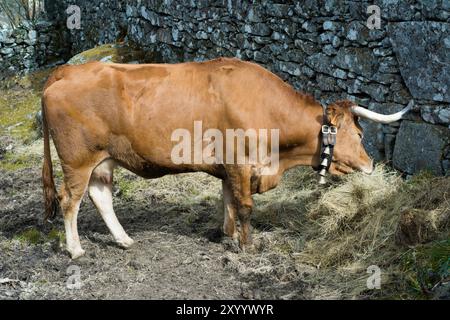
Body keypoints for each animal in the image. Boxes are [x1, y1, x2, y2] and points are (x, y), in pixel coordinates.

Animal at [42, 57, 412, 258]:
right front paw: (247, 245)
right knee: (69, 201)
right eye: (360, 135)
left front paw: (228, 234)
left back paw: (123, 239)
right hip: (78, 160)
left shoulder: (229, 169)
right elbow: (245, 206)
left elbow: (229, 201)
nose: (370, 164)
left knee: (100, 196)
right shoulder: (241, 164)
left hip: (102, 161)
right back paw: (75, 249)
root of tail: (70, 70)